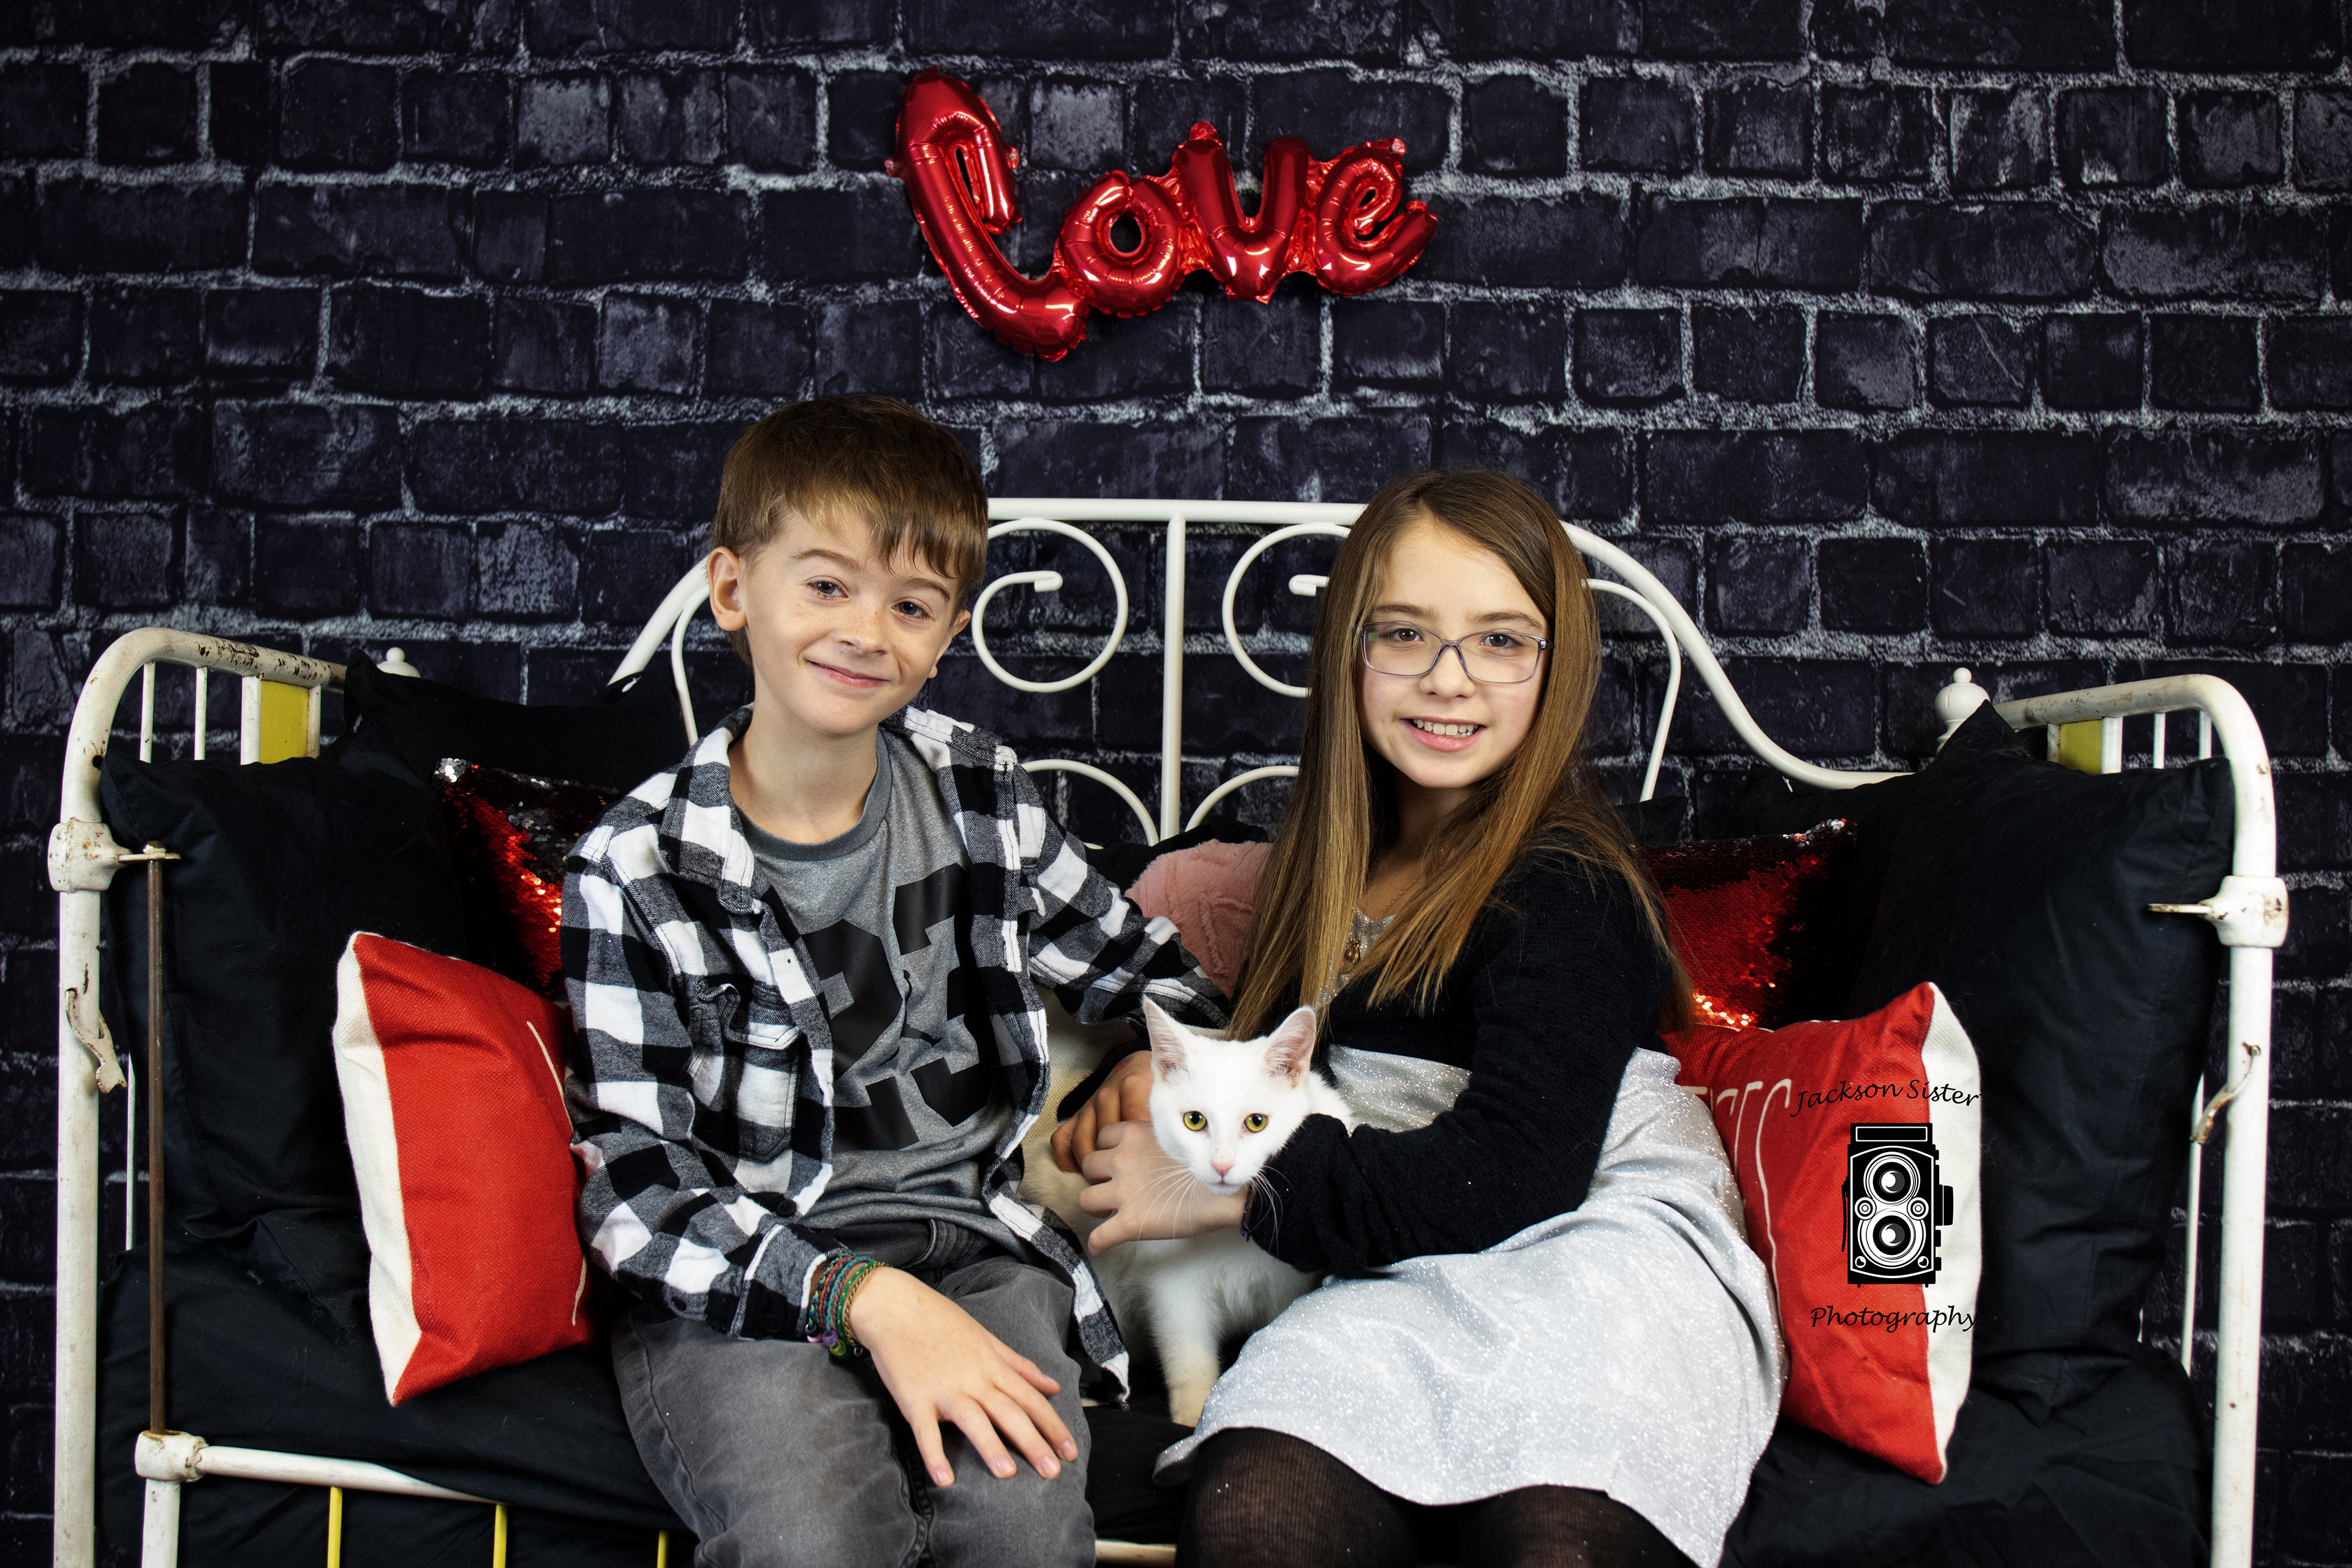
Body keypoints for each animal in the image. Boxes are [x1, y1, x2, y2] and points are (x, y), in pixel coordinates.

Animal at [1026, 997, 1357, 1427]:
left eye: (1257, 1122)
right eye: (1194, 1121)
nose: (1221, 1165)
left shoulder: (1284, 1289)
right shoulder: (1175, 1297)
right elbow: (1190, 1364)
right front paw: (1190, 1419)